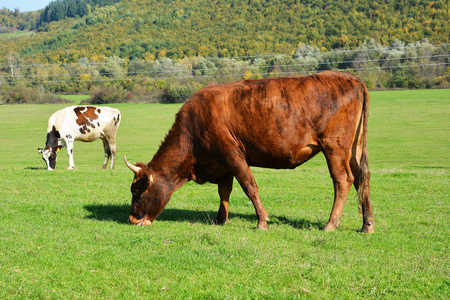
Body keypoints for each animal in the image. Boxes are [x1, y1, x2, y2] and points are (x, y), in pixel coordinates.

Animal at [125, 71, 374, 233]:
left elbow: (249, 186)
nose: (131, 219)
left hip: (334, 146)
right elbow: (224, 191)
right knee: (362, 177)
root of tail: (350, 78)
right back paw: (367, 225)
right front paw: (220, 219)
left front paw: (262, 221)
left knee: (343, 180)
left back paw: (330, 224)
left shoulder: (233, 154)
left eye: (137, 191)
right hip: (354, 149)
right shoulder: (222, 163)